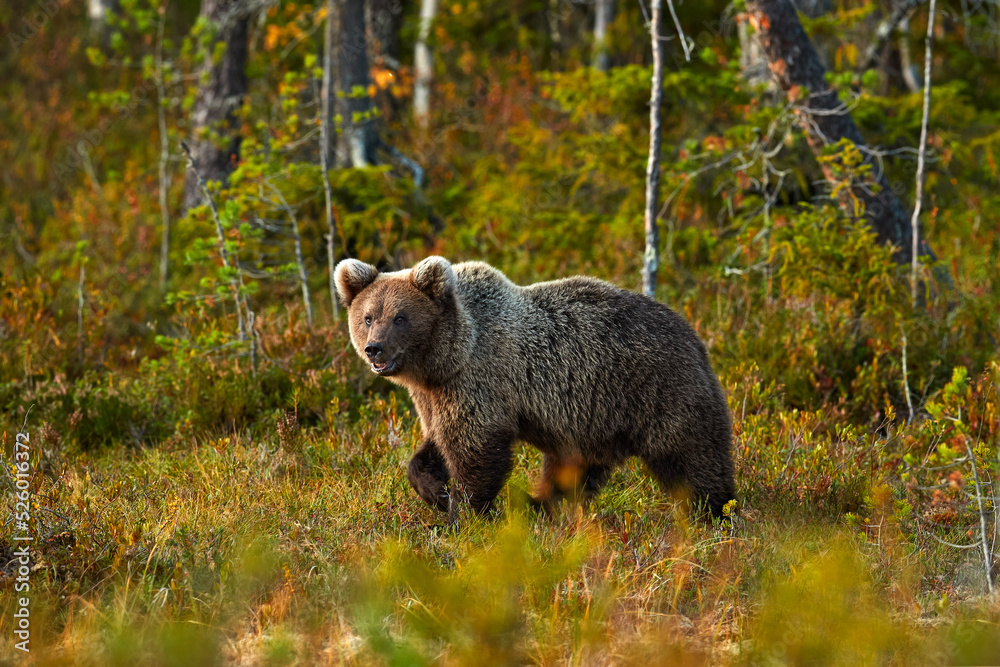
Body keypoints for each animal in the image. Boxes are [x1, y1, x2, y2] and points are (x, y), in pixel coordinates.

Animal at [334, 256, 735, 522]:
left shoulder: (479, 380)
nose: (374, 348)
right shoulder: (435, 396)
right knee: (571, 469)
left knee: (692, 457)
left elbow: (476, 451)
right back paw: (539, 504)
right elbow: (435, 446)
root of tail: (694, 334)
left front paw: (463, 513)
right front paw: (434, 488)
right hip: (591, 419)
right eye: (367, 317)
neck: (446, 357)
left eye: (400, 317)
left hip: (661, 391)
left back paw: (715, 512)